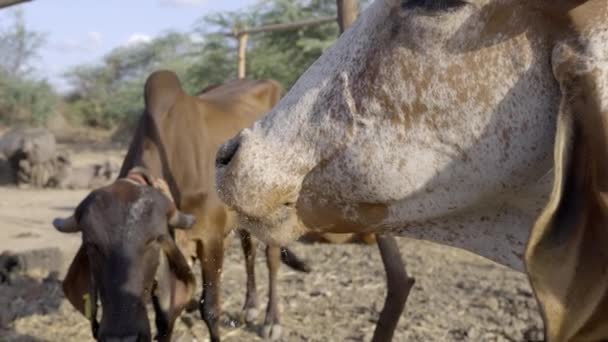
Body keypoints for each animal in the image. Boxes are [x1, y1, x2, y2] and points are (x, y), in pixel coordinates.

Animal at [52, 71, 312, 340]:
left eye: (152, 241)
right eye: (91, 246)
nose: (121, 336)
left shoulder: (210, 240)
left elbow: (210, 309)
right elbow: (165, 316)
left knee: (271, 258)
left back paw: (272, 320)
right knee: (248, 249)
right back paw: (250, 306)